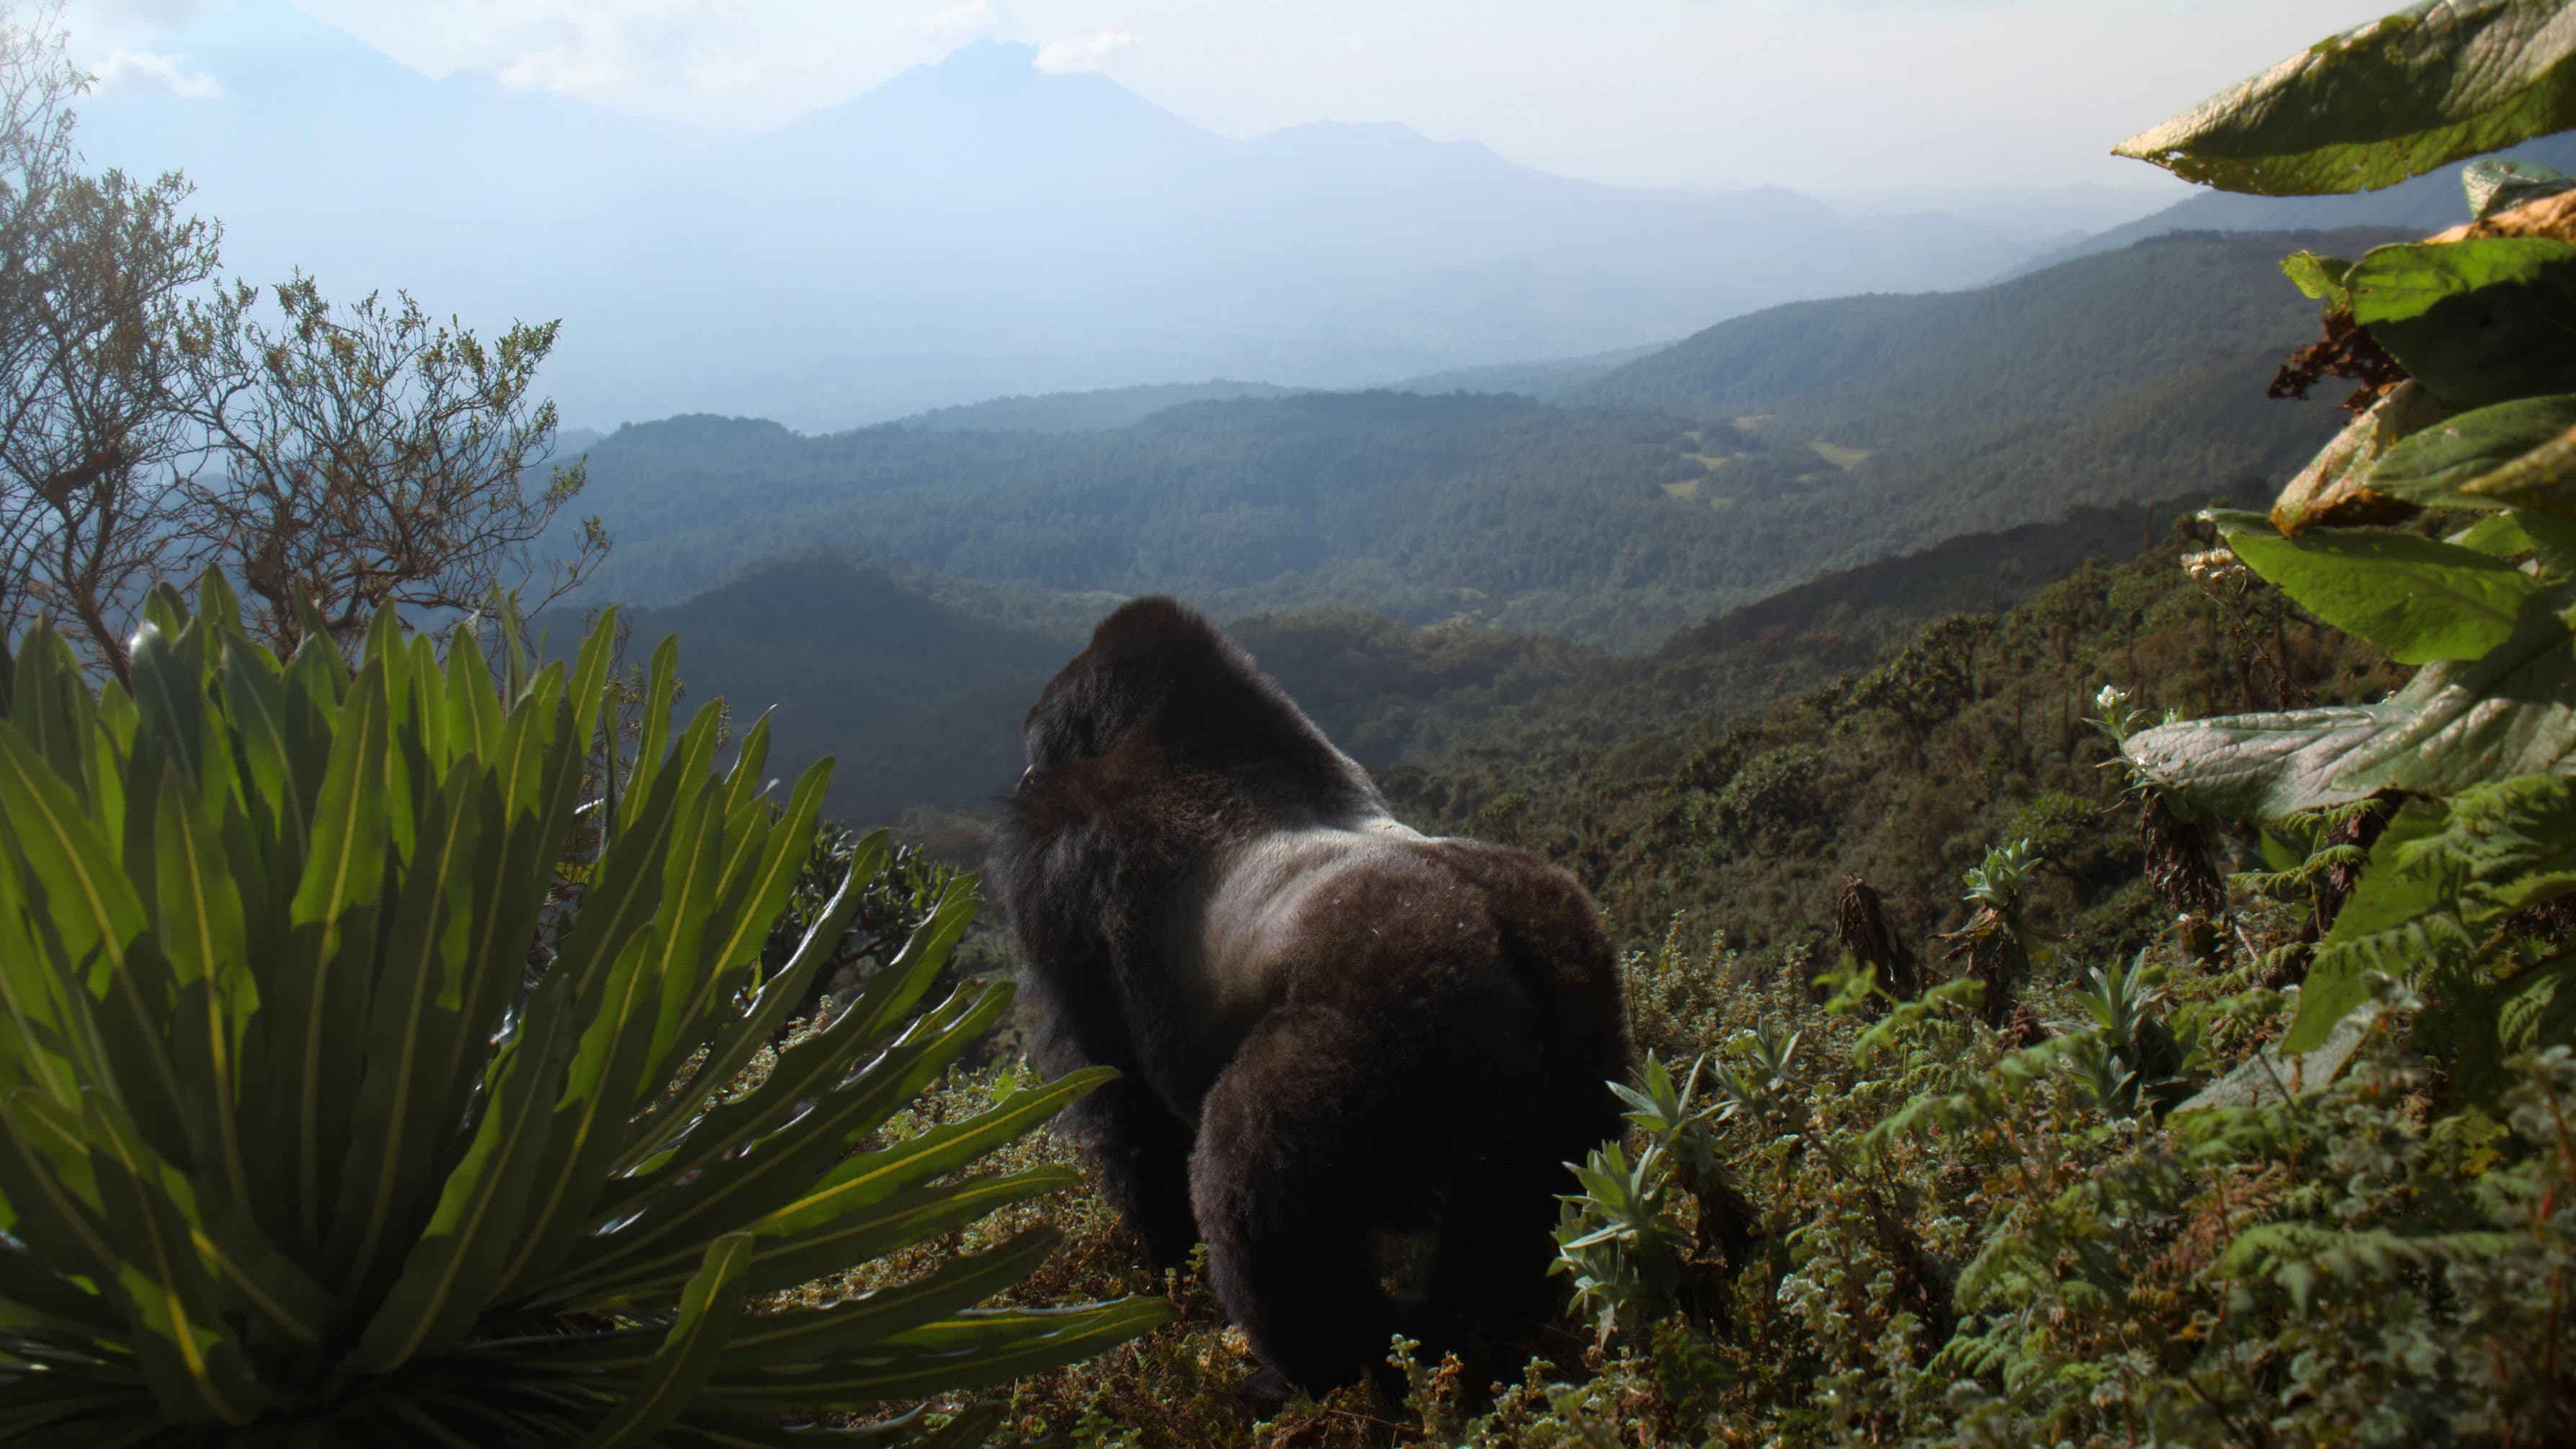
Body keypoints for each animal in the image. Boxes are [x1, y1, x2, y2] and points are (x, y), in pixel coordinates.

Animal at [991, 596, 1628, 1402]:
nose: (1023, 772)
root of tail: (1503, 929)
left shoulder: (1057, 857)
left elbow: (1120, 1098)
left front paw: (1164, 1260)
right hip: (1584, 1008)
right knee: (1528, 1212)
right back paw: (1459, 1335)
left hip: (1389, 1021)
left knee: (1247, 1172)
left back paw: (1311, 1374)